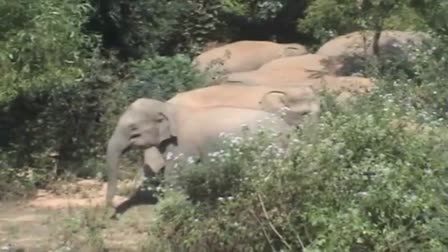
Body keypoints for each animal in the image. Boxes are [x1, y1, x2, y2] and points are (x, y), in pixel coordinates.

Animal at [106, 97, 292, 206]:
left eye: (133, 129)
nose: (110, 212)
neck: (168, 108)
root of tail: (288, 129)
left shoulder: (182, 145)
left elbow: (175, 175)